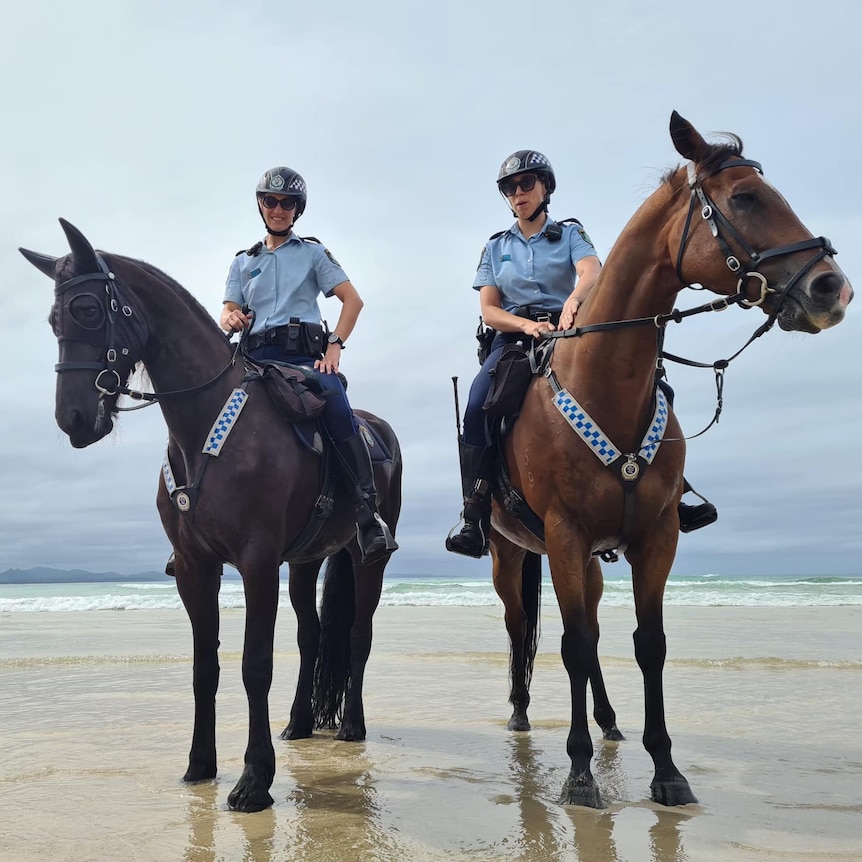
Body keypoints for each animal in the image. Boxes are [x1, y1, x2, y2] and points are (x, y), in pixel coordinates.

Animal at [16, 221, 402, 808]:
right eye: (53, 320)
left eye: (87, 309)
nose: (74, 418)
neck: (208, 431)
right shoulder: (196, 568)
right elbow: (205, 668)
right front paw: (200, 764)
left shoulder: (258, 563)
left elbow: (254, 666)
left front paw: (254, 779)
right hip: (305, 563)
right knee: (311, 635)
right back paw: (299, 723)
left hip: (366, 559)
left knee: (358, 634)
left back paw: (352, 725)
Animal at [490, 109, 852, 808]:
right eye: (746, 198)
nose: (833, 288)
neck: (607, 384)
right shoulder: (565, 536)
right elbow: (572, 647)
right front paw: (579, 774)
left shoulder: (655, 537)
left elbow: (646, 644)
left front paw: (666, 768)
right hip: (509, 552)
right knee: (521, 627)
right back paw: (521, 713)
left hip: (592, 561)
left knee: (589, 629)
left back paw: (608, 722)